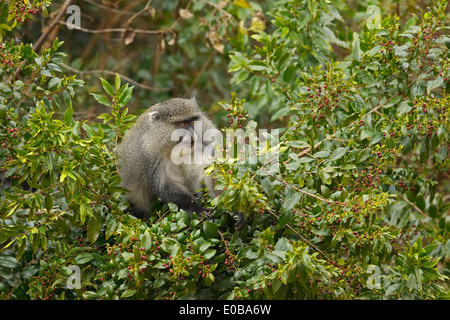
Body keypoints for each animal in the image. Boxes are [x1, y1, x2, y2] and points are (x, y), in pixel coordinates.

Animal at [114, 96, 244, 229]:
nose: (192, 136)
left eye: (192, 122)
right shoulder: (151, 154)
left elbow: (211, 171)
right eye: (182, 124)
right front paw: (194, 208)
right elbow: (165, 185)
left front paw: (235, 205)